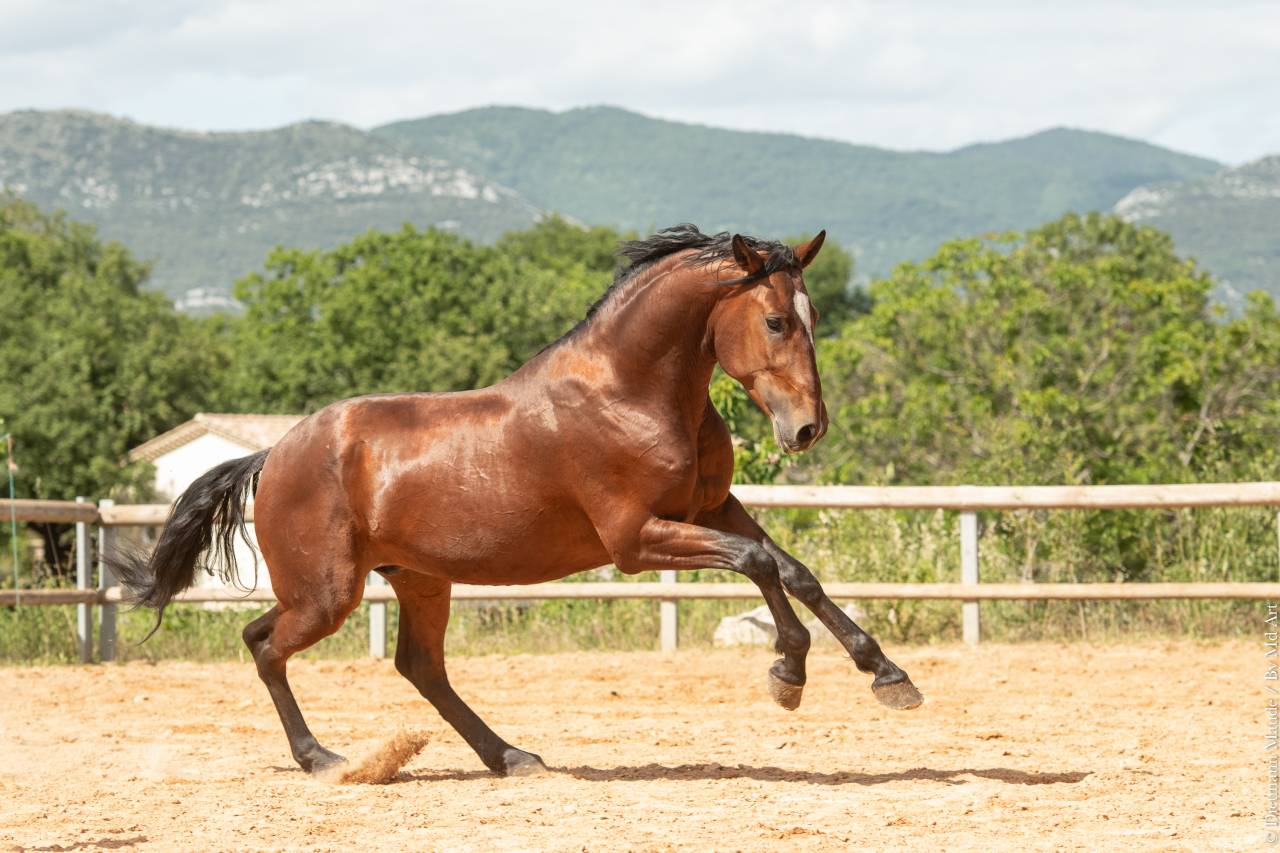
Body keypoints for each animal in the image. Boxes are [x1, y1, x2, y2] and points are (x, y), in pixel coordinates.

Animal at [112, 224, 922, 778]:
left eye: (813, 320)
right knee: (264, 644)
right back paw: (325, 759)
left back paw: (510, 756)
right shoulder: (637, 539)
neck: (633, 390)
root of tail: (273, 454)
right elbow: (760, 563)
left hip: (420, 580)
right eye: (776, 321)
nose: (807, 429)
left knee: (419, 667)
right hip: (326, 594)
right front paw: (788, 676)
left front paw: (888, 676)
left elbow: (794, 570)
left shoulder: (712, 510)